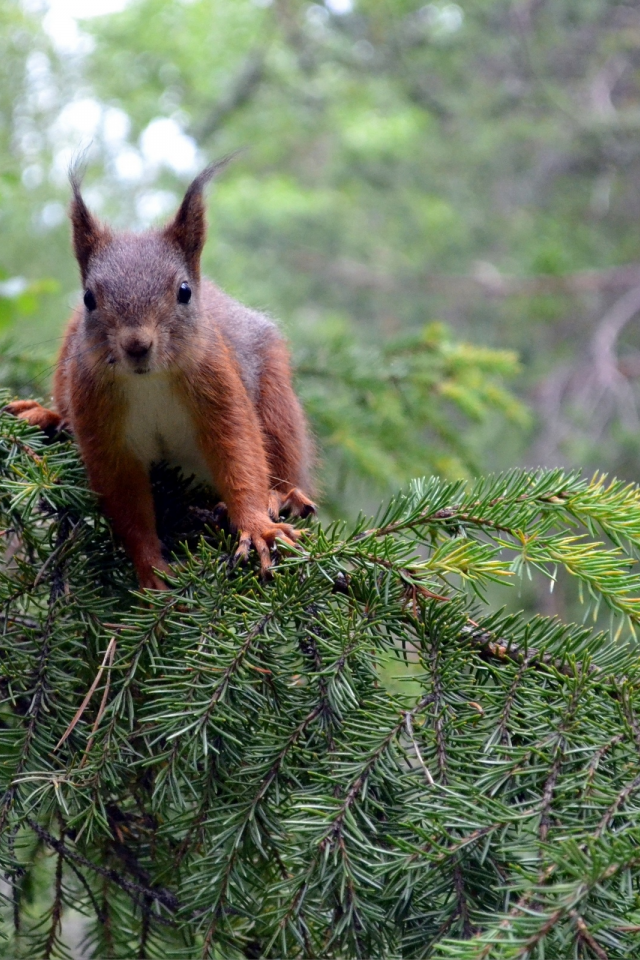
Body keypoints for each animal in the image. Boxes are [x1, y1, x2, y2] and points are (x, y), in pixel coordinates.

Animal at [5, 161, 316, 588]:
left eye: (183, 291)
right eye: (88, 298)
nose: (137, 345)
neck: (148, 381)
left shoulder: (218, 388)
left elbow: (239, 453)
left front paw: (256, 527)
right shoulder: (100, 422)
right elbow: (126, 504)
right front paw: (151, 571)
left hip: (274, 394)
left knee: (283, 453)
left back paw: (283, 497)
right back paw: (46, 416)